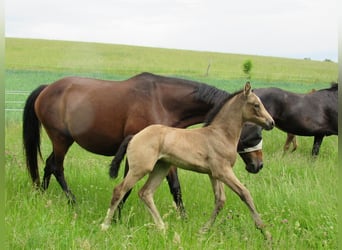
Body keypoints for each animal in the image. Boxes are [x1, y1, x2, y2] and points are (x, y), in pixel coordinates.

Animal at [23, 72, 264, 213]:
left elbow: (175, 188)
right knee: (57, 167)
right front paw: (117, 216)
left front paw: (184, 219)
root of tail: (46, 88)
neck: (162, 101)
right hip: (61, 139)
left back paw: (41, 194)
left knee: (49, 165)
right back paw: (72, 202)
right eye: (255, 135)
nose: (258, 165)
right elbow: (127, 187)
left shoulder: (166, 154)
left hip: (63, 141)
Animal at [101, 82, 276, 240]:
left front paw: (202, 231)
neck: (220, 134)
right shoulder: (223, 171)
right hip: (140, 169)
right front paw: (265, 233)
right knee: (119, 190)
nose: (271, 123)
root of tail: (134, 136)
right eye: (256, 105)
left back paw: (162, 228)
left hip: (161, 168)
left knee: (145, 192)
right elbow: (245, 193)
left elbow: (220, 200)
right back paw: (105, 225)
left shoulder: (214, 174)